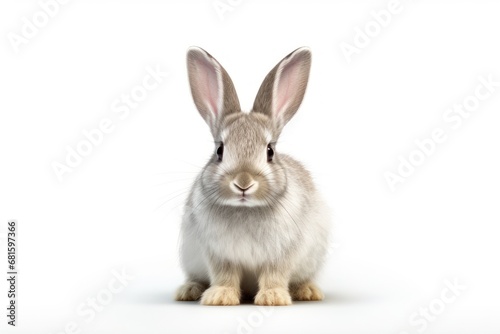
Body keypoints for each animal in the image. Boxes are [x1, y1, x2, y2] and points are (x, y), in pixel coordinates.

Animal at [176, 46, 332, 306]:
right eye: (220, 151)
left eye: (270, 151)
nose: (243, 183)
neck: (245, 209)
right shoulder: (219, 255)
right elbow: (225, 275)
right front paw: (220, 297)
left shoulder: (281, 254)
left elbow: (274, 275)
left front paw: (273, 298)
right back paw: (188, 290)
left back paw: (307, 291)